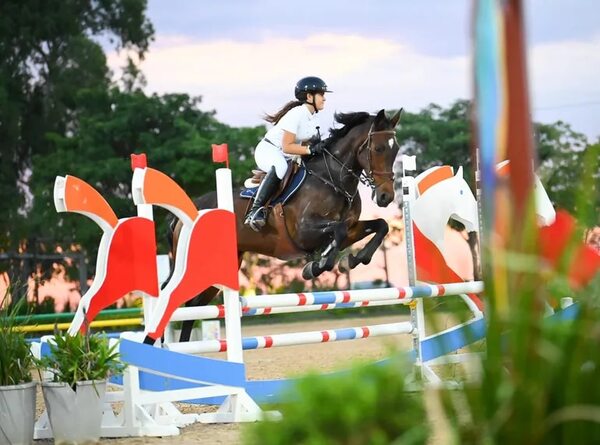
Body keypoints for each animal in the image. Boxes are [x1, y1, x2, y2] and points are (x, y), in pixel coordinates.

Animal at [169, 107, 404, 340]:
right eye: (379, 148)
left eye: (396, 150)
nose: (386, 197)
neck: (332, 179)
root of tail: (188, 210)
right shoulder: (304, 232)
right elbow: (338, 232)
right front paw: (316, 266)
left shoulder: (350, 227)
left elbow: (379, 225)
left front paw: (353, 259)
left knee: (194, 307)